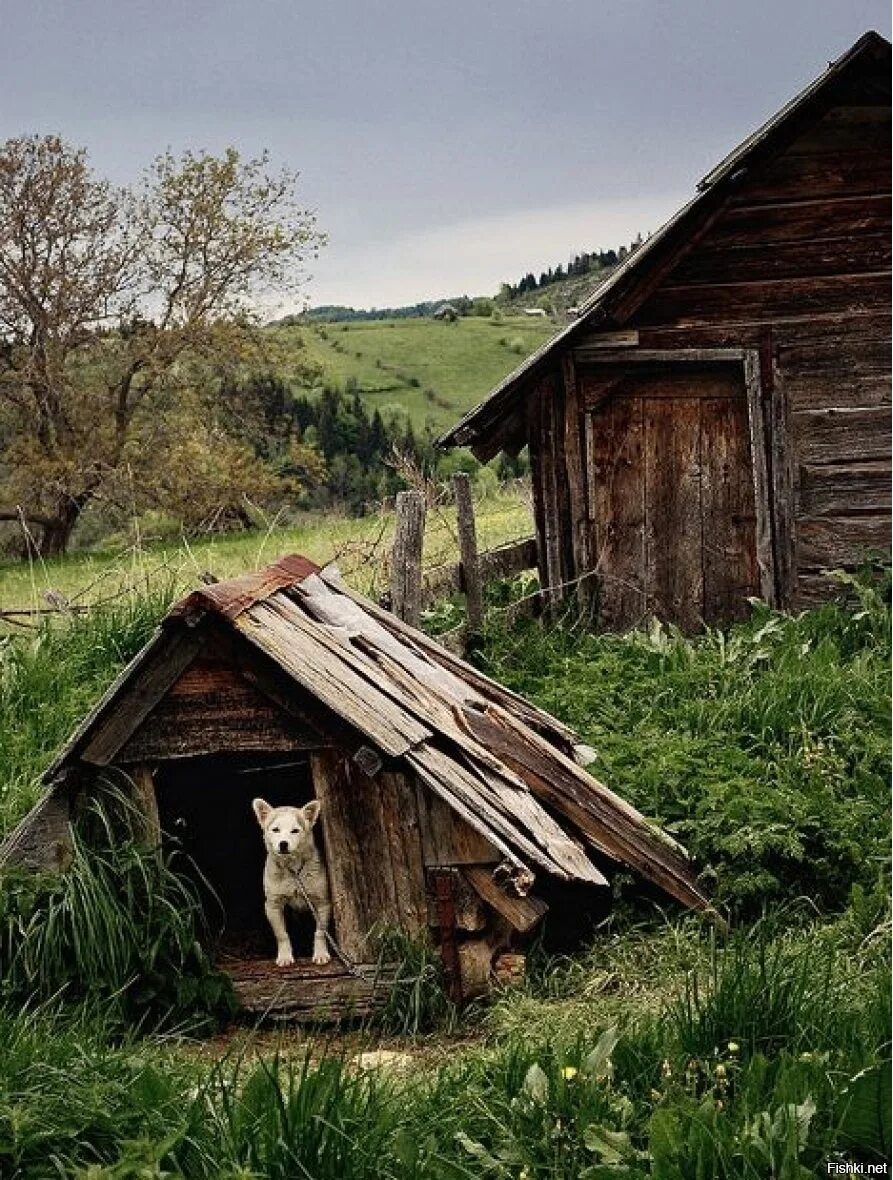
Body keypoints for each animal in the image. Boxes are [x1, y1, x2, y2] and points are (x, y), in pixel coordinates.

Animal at [251, 797, 330, 962]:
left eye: (295, 831)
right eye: (275, 830)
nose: (283, 844)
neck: (293, 871)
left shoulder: (323, 904)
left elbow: (320, 932)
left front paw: (320, 953)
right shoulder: (273, 906)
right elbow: (282, 935)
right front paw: (285, 956)